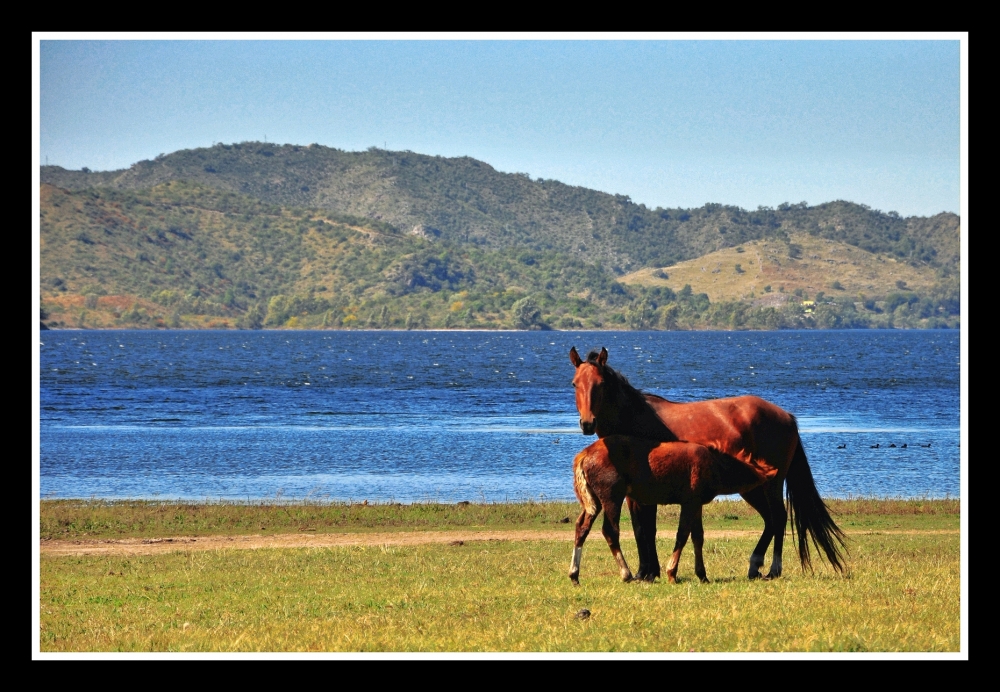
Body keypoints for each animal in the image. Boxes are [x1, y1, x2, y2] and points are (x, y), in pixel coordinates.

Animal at [572, 438, 764, 584]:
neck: (715, 464)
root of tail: (584, 455)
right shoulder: (689, 502)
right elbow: (682, 535)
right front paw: (672, 573)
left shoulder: (697, 504)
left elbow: (698, 537)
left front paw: (702, 575)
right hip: (612, 498)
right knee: (610, 530)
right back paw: (626, 574)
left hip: (594, 502)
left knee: (582, 527)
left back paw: (574, 575)